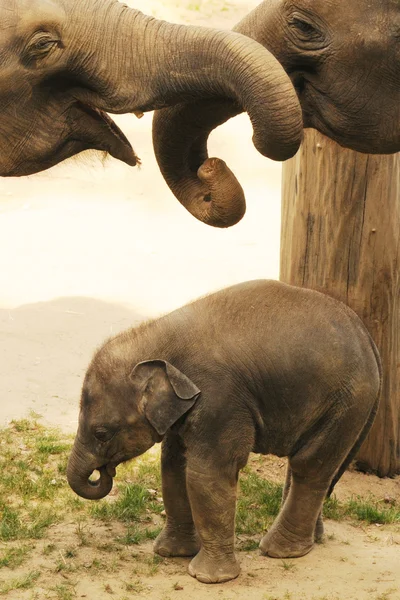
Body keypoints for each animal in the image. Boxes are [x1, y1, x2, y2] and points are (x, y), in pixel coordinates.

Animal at [67, 280, 380, 580]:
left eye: (102, 433)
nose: (104, 472)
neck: (155, 335)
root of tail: (368, 339)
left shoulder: (219, 398)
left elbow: (207, 473)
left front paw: (208, 577)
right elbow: (173, 465)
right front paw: (171, 553)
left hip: (346, 401)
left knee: (309, 465)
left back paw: (279, 551)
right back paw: (310, 542)